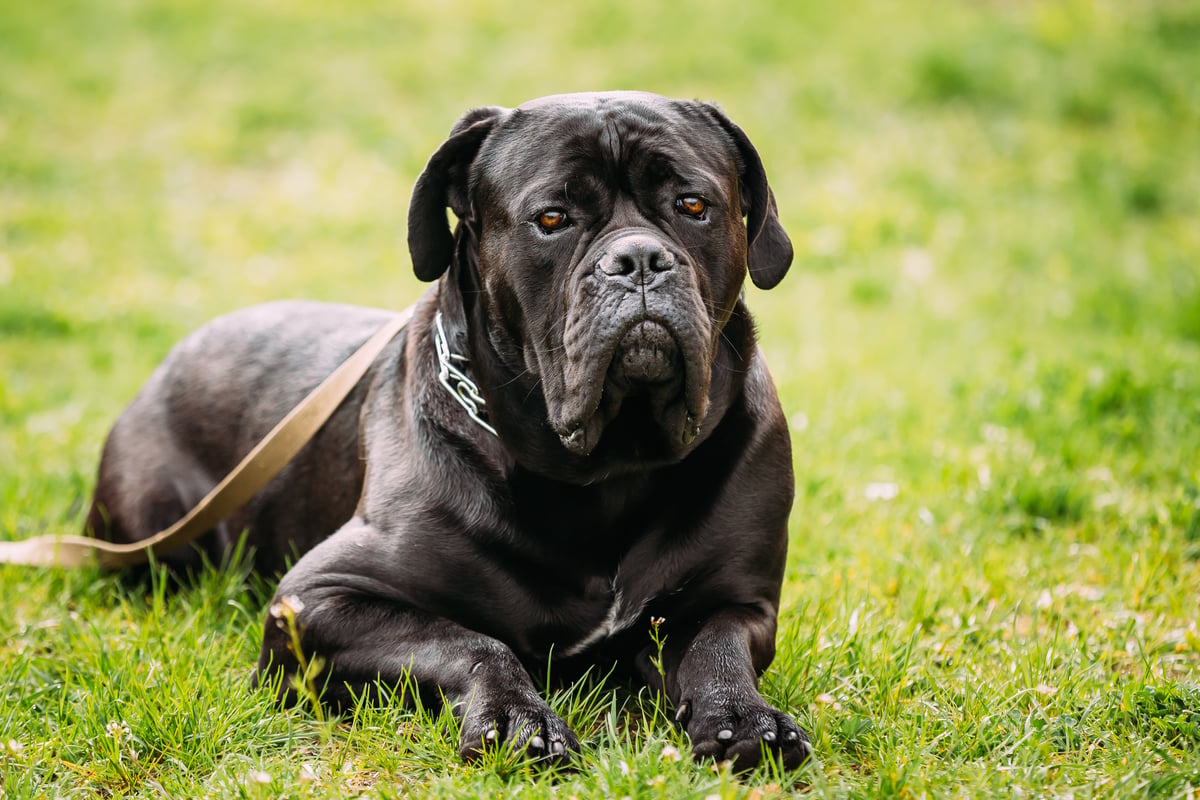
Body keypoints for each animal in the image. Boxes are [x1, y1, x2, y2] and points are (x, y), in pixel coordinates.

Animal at [88, 90, 811, 772]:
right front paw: (518, 719)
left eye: (693, 205)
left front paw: (744, 718)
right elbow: (471, 641)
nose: (638, 259)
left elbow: (717, 646)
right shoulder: (316, 599)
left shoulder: (738, 599)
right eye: (552, 219)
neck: (607, 466)